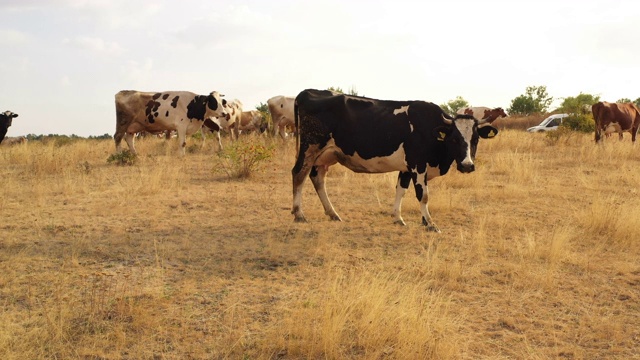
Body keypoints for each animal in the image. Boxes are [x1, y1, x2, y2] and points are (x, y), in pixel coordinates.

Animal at [292, 88, 500, 232]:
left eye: (475, 139)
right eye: (455, 139)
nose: (467, 166)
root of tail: (308, 92)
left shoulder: (407, 168)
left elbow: (401, 190)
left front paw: (400, 218)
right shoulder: (418, 165)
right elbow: (423, 194)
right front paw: (430, 223)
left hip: (324, 156)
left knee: (317, 178)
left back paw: (333, 213)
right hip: (310, 147)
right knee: (299, 174)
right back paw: (299, 214)